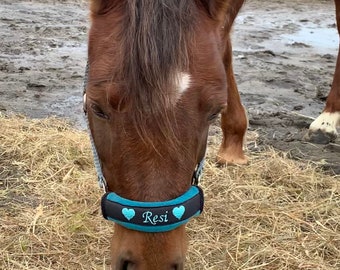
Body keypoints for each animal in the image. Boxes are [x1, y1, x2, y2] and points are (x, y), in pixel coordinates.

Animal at [85, 0, 340, 270]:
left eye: (214, 112)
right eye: (97, 108)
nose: (152, 263)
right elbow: (223, 45)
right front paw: (232, 146)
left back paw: (327, 120)